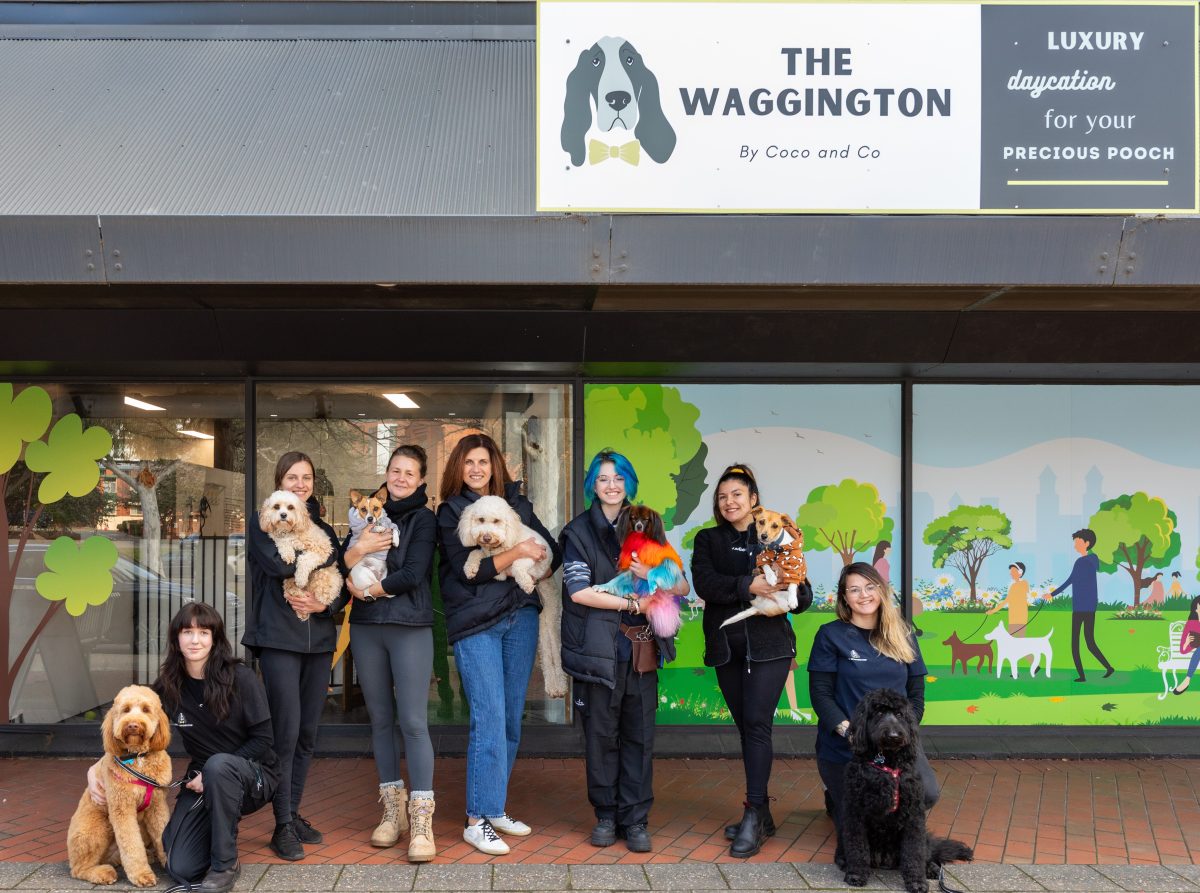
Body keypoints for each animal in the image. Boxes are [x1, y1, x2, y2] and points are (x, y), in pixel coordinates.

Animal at [67, 681, 172, 888]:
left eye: (146, 709)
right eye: (125, 710)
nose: (133, 725)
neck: (137, 757)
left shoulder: (157, 806)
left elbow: (162, 833)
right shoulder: (122, 808)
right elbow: (131, 844)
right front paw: (142, 875)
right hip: (98, 827)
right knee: (78, 869)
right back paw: (102, 873)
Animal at [258, 487, 343, 619]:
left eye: (290, 507)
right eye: (276, 506)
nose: (283, 515)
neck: (290, 531)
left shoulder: (323, 549)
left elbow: (304, 559)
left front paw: (301, 579)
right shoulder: (278, 537)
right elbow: (282, 542)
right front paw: (288, 554)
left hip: (324, 575)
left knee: (323, 596)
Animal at [458, 494, 571, 696]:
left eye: (496, 521)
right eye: (481, 520)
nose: (486, 537)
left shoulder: (535, 553)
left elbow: (518, 565)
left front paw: (524, 583)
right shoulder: (486, 553)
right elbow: (475, 553)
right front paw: (471, 569)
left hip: (552, 616)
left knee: (555, 650)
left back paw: (559, 685)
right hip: (542, 622)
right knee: (546, 651)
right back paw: (553, 686)